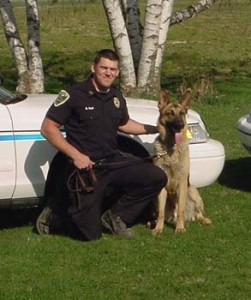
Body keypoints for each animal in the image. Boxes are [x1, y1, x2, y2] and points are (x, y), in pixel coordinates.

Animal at [152, 89, 211, 234]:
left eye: (182, 113)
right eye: (170, 113)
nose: (181, 125)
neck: (171, 148)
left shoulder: (182, 183)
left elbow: (181, 210)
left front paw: (179, 228)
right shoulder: (162, 188)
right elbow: (161, 212)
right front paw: (158, 228)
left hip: (193, 191)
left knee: (198, 213)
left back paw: (204, 220)